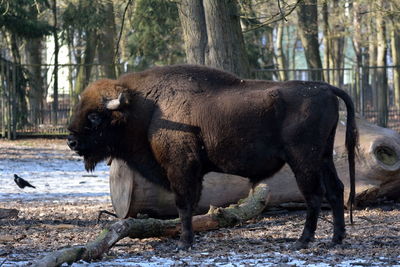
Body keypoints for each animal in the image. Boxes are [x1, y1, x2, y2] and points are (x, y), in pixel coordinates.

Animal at [67, 63, 358, 250]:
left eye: (95, 116)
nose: (71, 141)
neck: (148, 107)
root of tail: (326, 88)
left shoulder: (181, 168)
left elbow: (183, 204)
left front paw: (184, 244)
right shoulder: (192, 172)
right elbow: (192, 204)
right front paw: (189, 239)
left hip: (303, 160)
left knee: (314, 196)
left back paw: (302, 241)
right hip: (324, 157)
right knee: (336, 190)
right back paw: (336, 239)